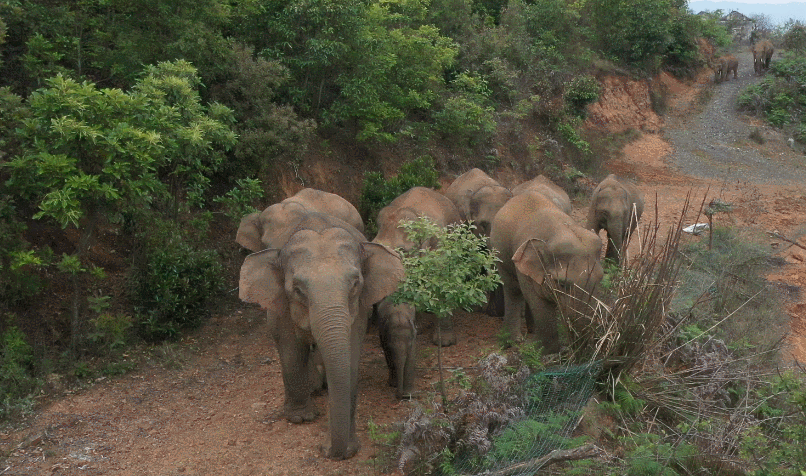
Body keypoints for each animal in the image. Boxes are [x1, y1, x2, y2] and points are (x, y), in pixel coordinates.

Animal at [239, 212, 404, 459]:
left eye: (355, 284)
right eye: (297, 290)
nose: (329, 452)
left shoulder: (359, 308)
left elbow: (351, 355)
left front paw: (348, 449)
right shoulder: (281, 304)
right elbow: (290, 347)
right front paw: (300, 418)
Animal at [490, 192, 603, 351]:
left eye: (601, 278)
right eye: (562, 284)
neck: (562, 229)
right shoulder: (525, 269)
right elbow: (538, 302)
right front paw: (547, 350)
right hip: (499, 252)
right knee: (513, 290)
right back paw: (514, 341)